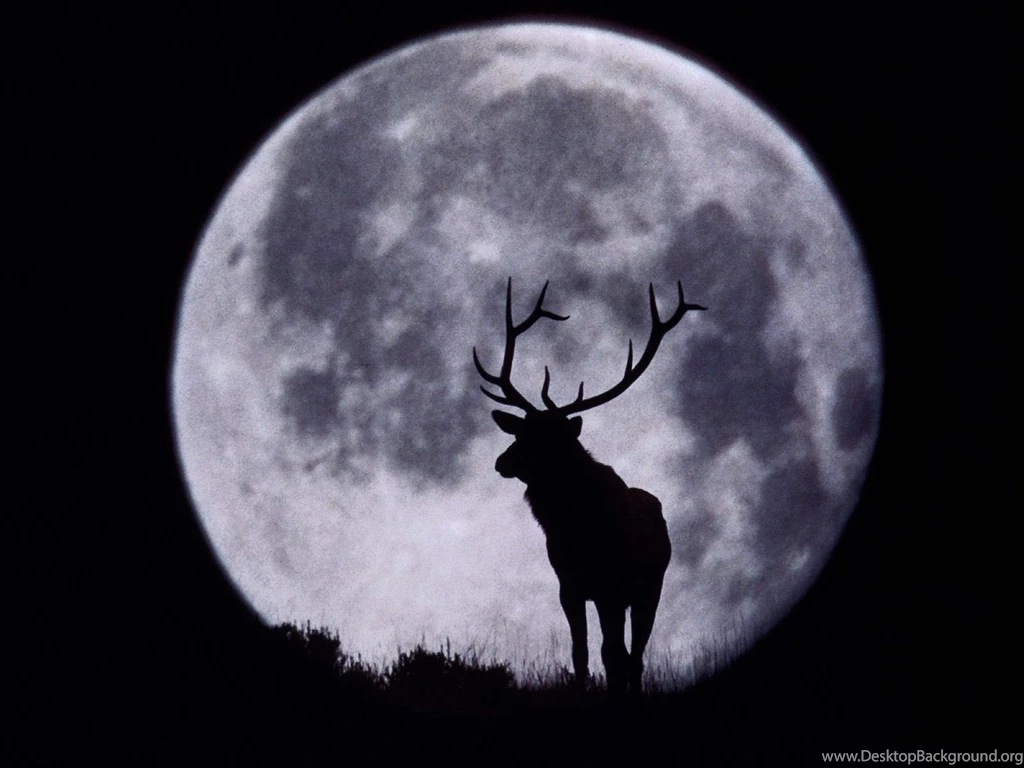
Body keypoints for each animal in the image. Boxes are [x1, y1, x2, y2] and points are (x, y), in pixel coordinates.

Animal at [474, 278, 705, 696]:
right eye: (520, 431)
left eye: (547, 439)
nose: (502, 462)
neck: (577, 528)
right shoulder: (570, 585)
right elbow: (579, 653)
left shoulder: (612, 585)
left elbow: (613, 654)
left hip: (649, 588)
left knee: (634, 655)